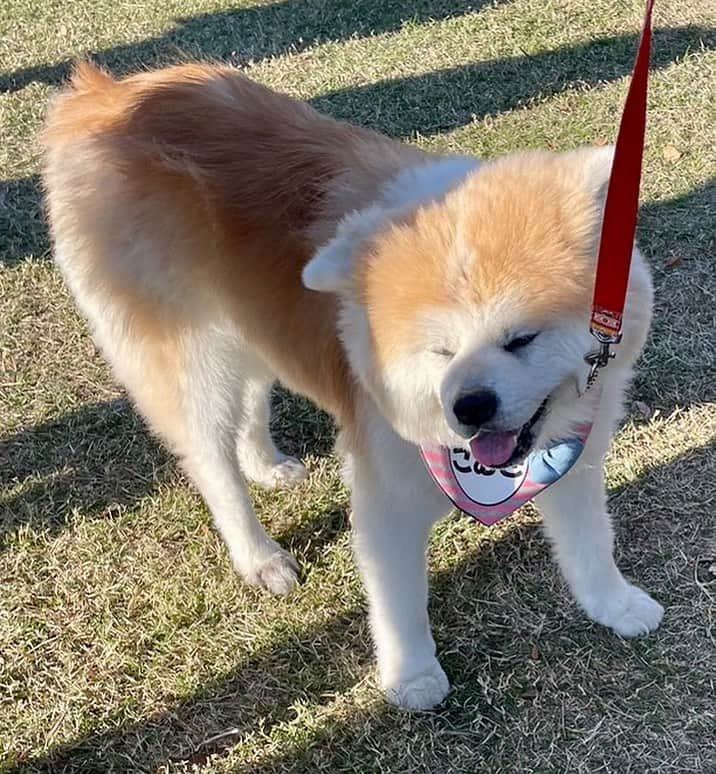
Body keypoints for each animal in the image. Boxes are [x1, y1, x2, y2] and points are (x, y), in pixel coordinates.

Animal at [42, 63, 664, 712]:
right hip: (192, 355)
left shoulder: (575, 455)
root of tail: (102, 95)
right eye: (440, 351)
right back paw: (259, 556)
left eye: (521, 339)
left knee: (250, 404)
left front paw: (614, 604)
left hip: (253, 322)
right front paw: (412, 678)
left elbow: (591, 543)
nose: (469, 407)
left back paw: (266, 464)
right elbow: (398, 603)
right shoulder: (385, 492)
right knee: (211, 462)